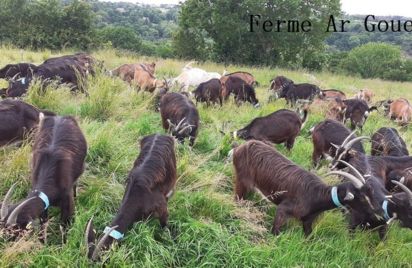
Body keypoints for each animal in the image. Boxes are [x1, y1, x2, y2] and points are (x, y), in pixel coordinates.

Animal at [233, 140, 384, 237]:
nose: (380, 214)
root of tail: (241, 147)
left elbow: (309, 237)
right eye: (362, 198)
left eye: (371, 192)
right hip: (241, 180)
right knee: (237, 198)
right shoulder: (284, 209)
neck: (316, 195)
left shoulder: (307, 221)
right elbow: (275, 231)